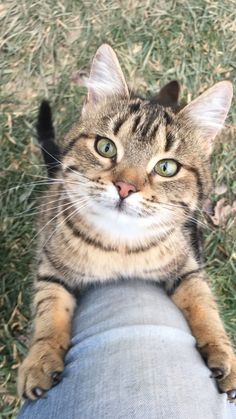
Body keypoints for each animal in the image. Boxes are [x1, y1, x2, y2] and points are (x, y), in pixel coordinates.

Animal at [17, 44, 236, 402]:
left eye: (166, 167)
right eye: (105, 147)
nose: (125, 187)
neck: (118, 244)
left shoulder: (186, 267)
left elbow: (203, 302)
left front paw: (223, 352)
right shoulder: (50, 265)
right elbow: (49, 309)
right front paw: (41, 357)